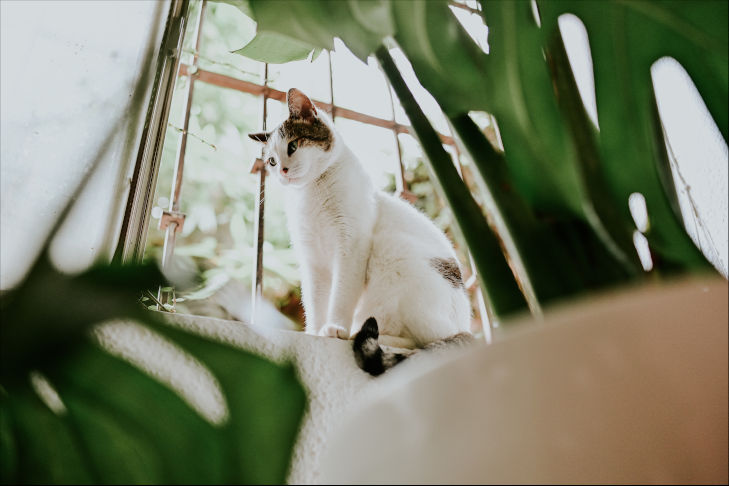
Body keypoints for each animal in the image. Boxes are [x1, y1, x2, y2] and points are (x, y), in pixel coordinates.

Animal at [250, 88, 474, 376]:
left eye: (293, 146)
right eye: (271, 161)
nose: (283, 171)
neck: (311, 194)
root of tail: (465, 324)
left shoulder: (351, 246)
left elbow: (341, 295)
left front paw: (335, 328)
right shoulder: (312, 261)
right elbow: (314, 301)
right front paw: (314, 332)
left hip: (395, 254)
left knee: (420, 340)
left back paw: (359, 333)